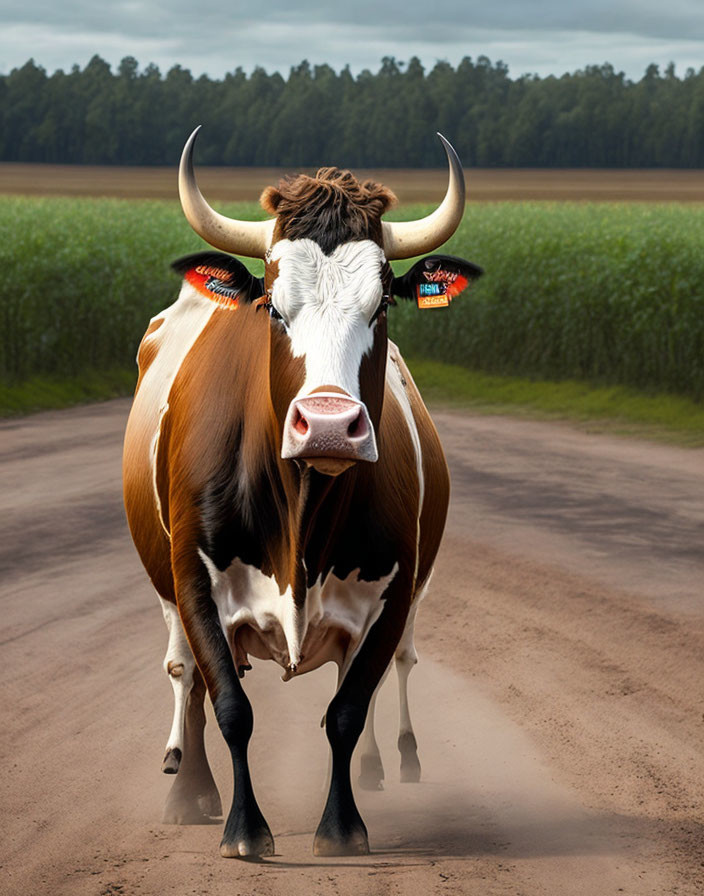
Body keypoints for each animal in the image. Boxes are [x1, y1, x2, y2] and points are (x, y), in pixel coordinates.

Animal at [124, 128, 482, 860]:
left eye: (382, 304)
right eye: (272, 305)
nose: (327, 426)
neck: (301, 514)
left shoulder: (393, 592)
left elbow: (346, 711)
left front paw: (342, 827)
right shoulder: (195, 580)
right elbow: (230, 706)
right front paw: (243, 830)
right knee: (188, 675)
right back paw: (189, 790)